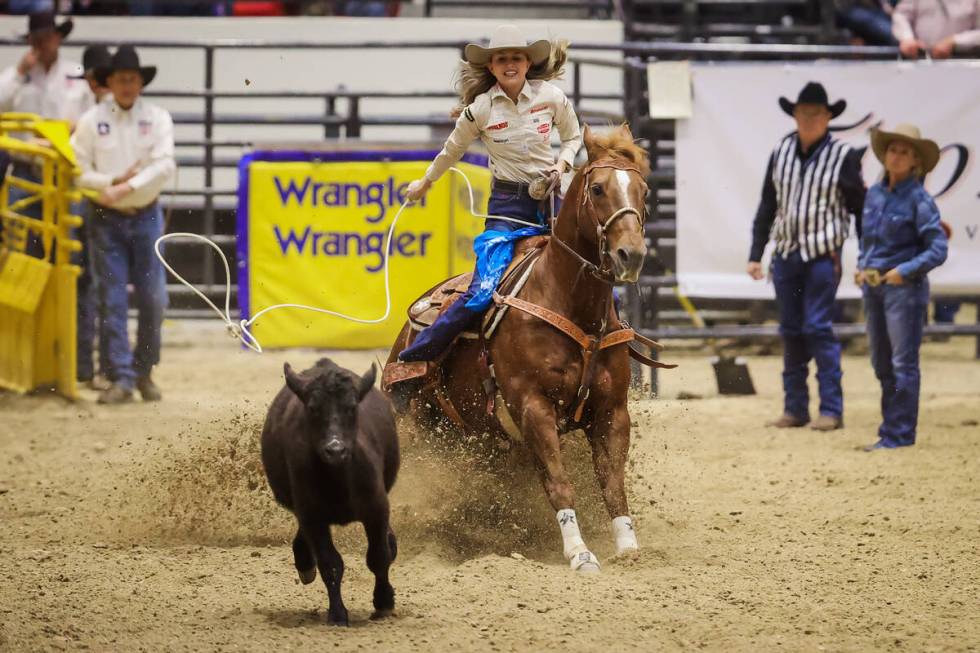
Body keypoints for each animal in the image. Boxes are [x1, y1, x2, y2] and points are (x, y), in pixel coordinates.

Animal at [380, 122, 668, 572]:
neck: (572, 305)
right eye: (598, 189)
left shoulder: (611, 412)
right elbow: (559, 481)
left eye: (643, 190)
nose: (631, 255)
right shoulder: (533, 407)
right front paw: (579, 552)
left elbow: (612, 483)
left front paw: (628, 548)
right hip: (413, 423)